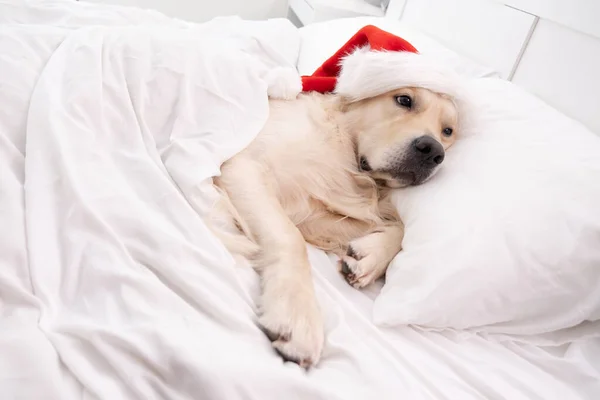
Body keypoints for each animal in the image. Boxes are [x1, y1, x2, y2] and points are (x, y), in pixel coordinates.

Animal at [209, 86, 458, 368]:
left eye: (448, 130)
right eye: (404, 100)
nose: (433, 151)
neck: (344, 150)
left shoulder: (314, 214)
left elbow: (399, 227)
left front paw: (370, 257)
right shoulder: (243, 166)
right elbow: (290, 237)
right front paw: (297, 313)